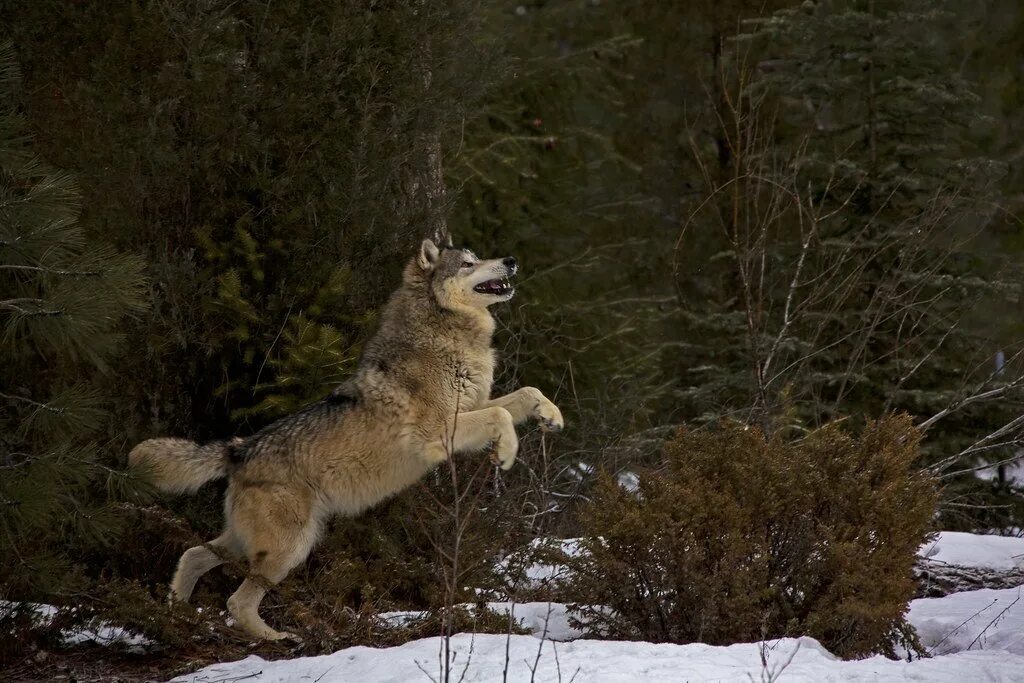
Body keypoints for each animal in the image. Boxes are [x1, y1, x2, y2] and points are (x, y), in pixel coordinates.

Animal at [129, 239, 565, 643]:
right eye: (469, 263)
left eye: (479, 257)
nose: (511, 259)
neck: (444, 335)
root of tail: (238, 448)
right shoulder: (436, 433)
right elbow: (502, 416)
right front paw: (507, 452)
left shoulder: (472, 407)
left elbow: (525, 394)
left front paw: (551, 416)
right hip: (290, 548)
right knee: (237, 600)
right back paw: (277, 638)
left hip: (247, 542)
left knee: (192, 554)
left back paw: (176, 615)